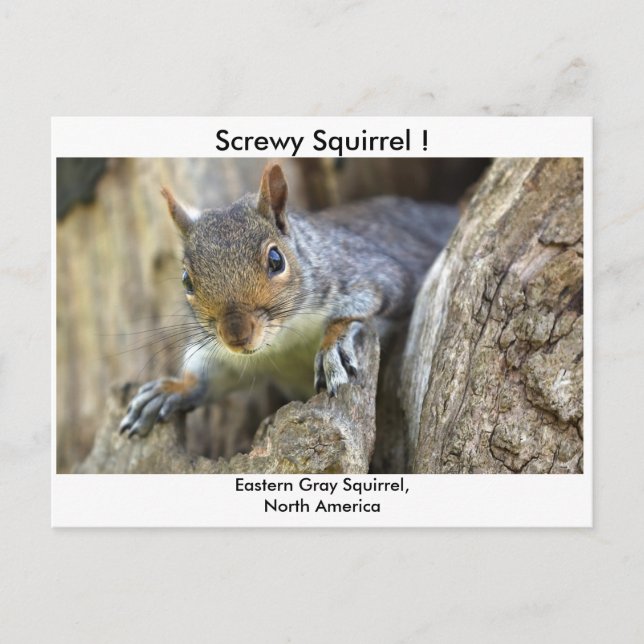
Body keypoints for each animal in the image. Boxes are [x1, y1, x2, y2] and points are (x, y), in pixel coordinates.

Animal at [119, 162, 458, 437]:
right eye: (186, 280)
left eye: (276, 260)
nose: (236, 335)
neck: (283, 341)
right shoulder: (228, 356)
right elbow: (212, 374)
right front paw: (172, 389)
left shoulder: (376, 276)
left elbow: (359, 309)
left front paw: (333, 346)